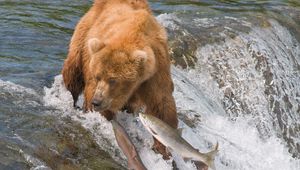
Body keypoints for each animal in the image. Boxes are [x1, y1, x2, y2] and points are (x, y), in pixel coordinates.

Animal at [61, 0, 177, 159]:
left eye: (113, 80)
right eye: (98, 76)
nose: (97, 102)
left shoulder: (156, 71)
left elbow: (161, 105)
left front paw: (162, 148)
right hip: (84, 35)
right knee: (73, 73)